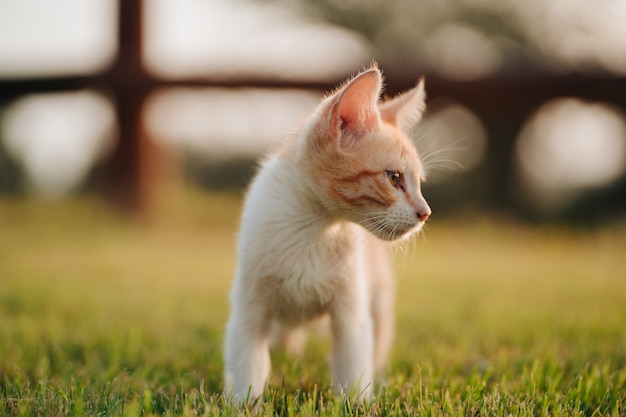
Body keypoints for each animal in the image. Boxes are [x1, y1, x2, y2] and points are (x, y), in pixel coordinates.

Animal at [223, 62, 428, 404]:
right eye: (394, 177)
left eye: (419, 183)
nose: (426, 213)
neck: (312, 228)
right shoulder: (249, 309)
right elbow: (247, 365)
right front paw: (244, 404)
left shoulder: (352, 314)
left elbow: (354, 368)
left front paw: (358, 404)